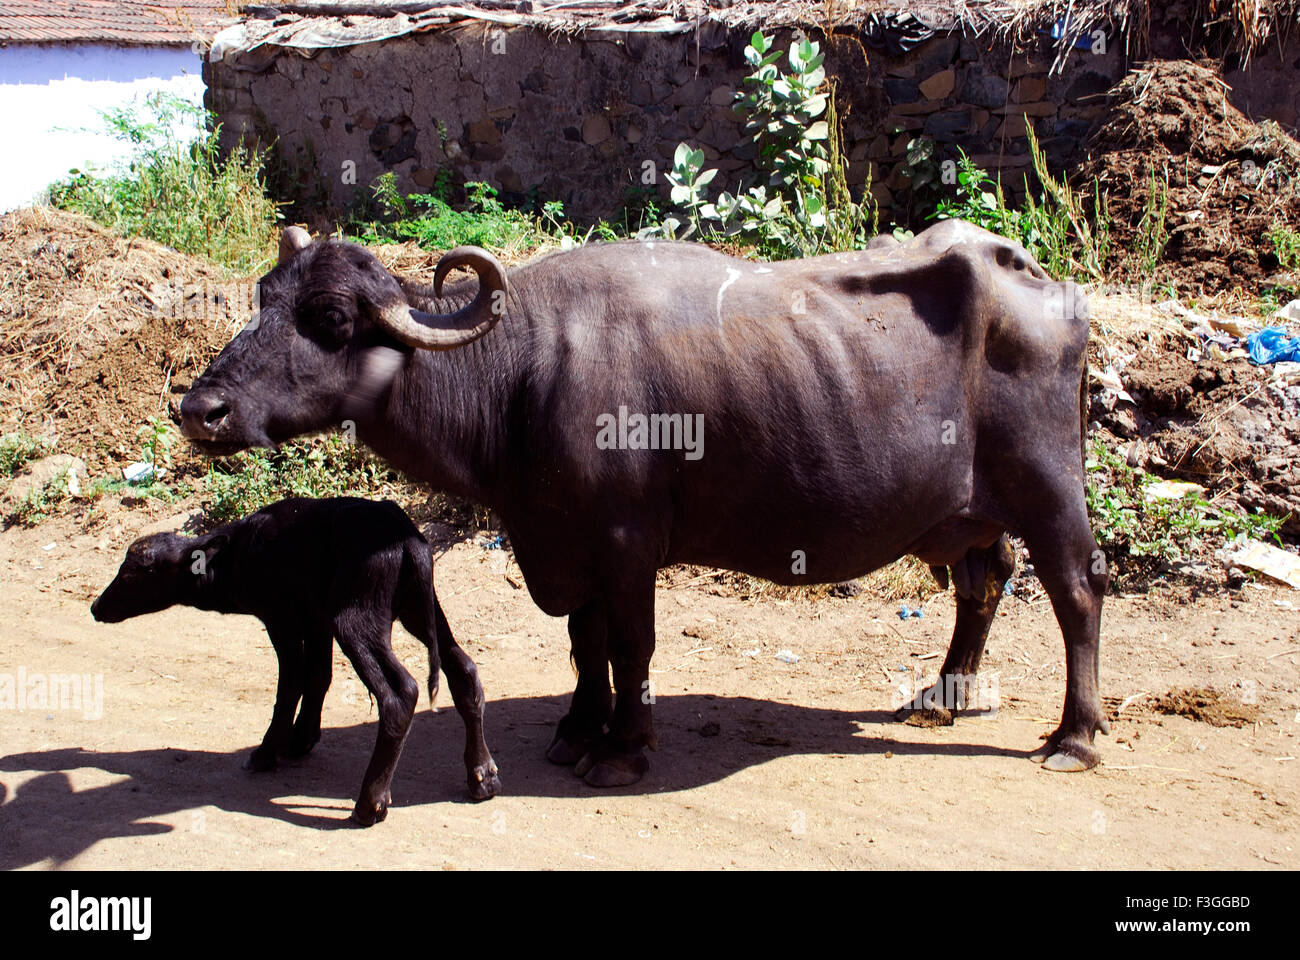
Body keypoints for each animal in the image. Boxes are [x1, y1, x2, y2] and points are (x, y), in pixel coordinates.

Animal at [180, 218, 1107, 785]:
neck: (520, 375)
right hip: (966, 512)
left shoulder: (626, 545)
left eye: (332, 317)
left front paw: (623, 750)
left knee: (1076, 591)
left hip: (1049, 481)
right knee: (984, 580)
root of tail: (1043, 281)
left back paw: (1074, 736)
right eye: (263, 298)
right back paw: (944, 696)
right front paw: (576, 730)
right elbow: (584, 644)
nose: (200, 410)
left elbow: (630, 646)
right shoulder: (560, 542)